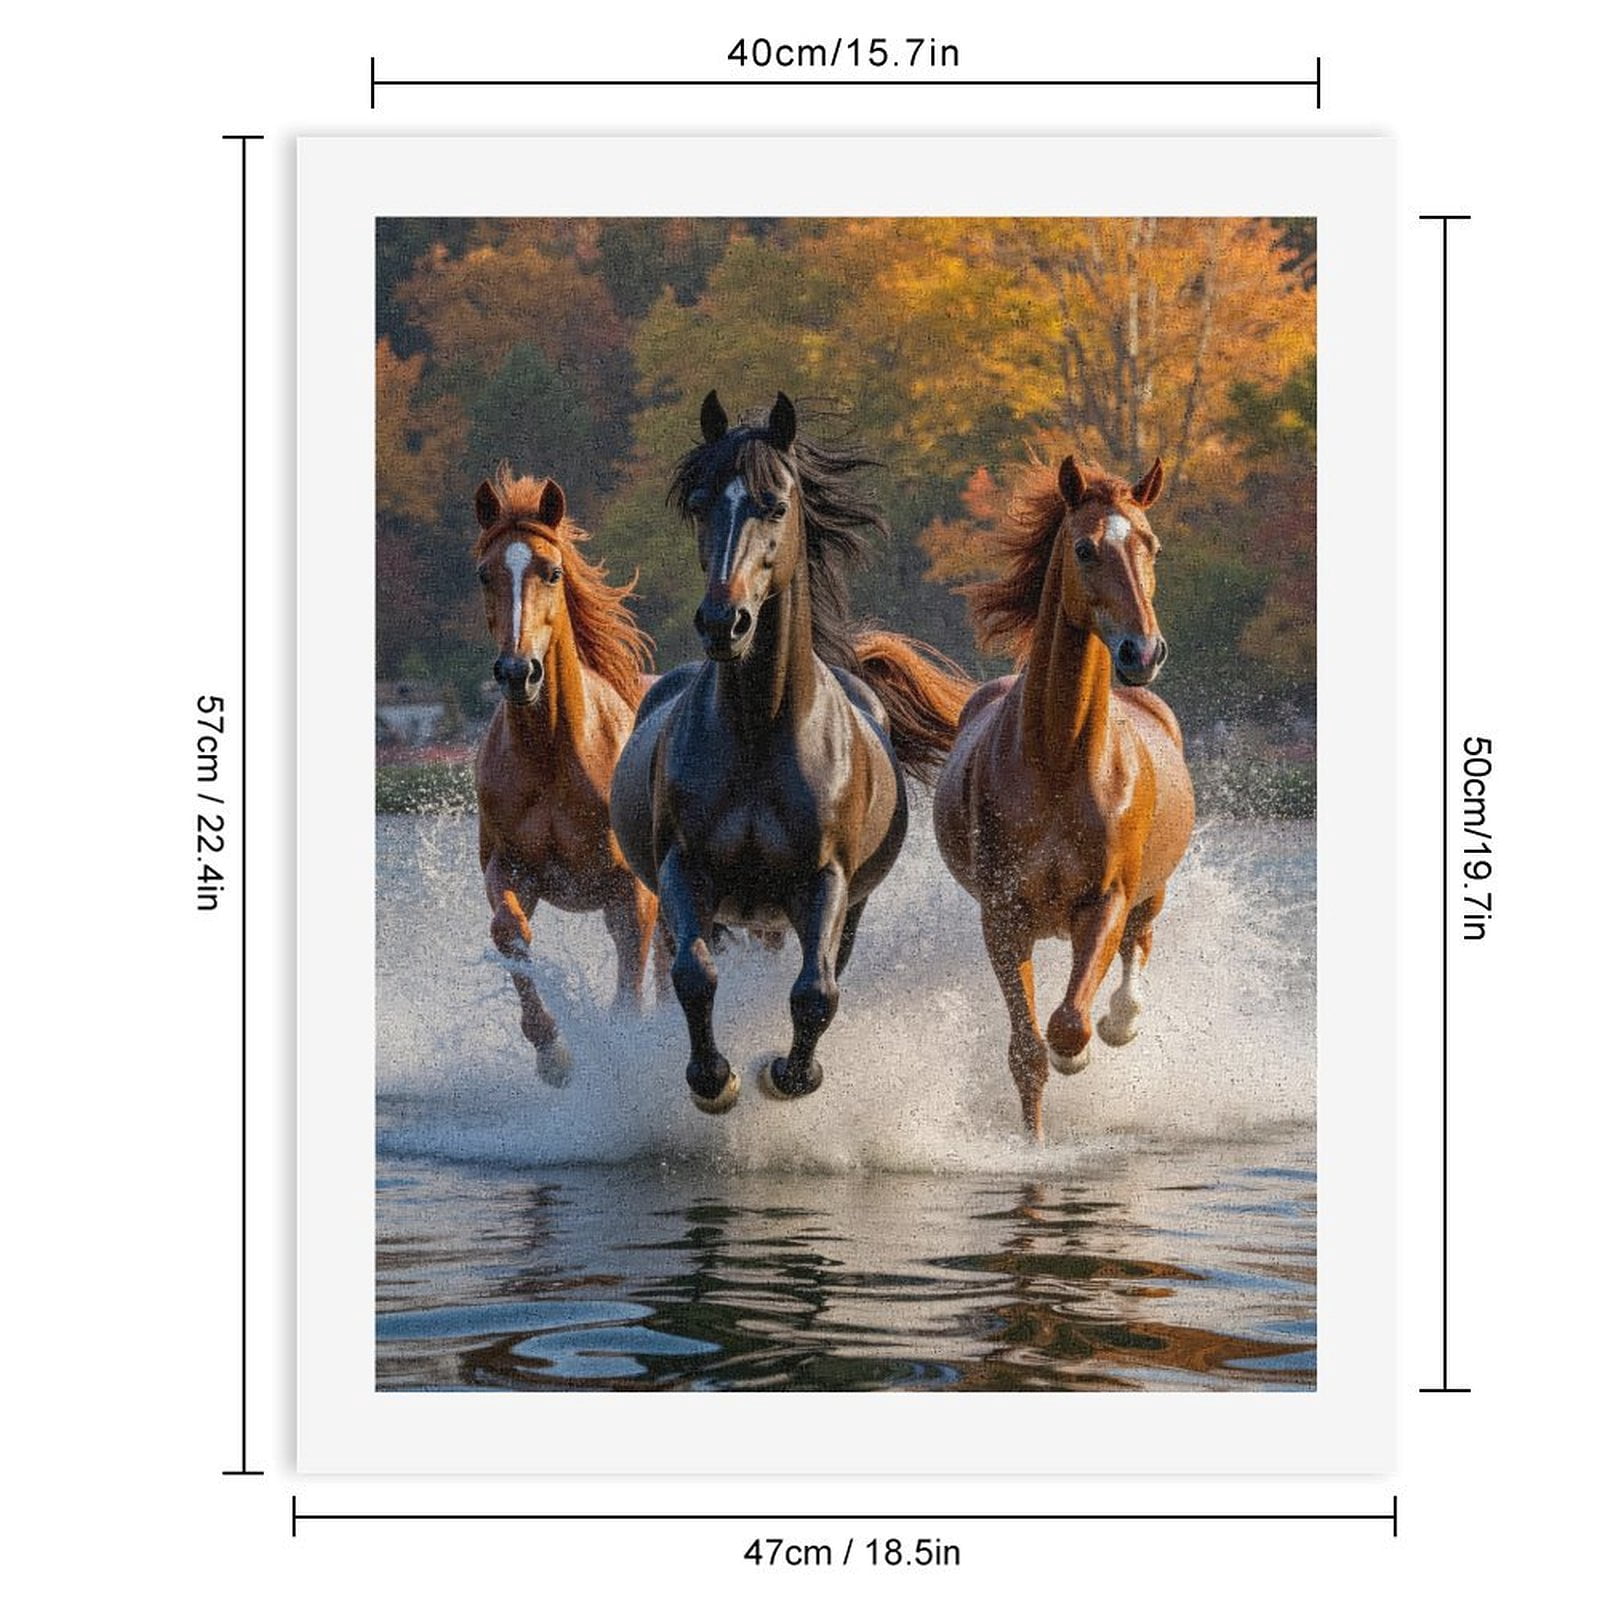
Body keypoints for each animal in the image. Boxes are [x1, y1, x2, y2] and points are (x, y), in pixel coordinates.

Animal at [471, 467, 659, 1085]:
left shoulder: (632, 891)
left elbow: (631, 990)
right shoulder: (512, 868)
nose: (517, 672)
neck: (554, 752)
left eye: (551, 571)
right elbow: (509, 932)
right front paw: (552, 1052)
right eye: (485, 573)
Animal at [610, 392, 972, 1114]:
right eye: (699, 501)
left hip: (826, 911)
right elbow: (694, 974)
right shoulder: (684, 870)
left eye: (775, 504)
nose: (723, 623)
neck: (760, 729)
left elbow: (815, 992)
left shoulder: (823, 881)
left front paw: (787, 1075)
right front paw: (713, 1081)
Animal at [932, 455, 1195, 1139]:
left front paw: (1081, 1048)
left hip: (1152, 889)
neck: (1058, 757)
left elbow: (1069, 1022)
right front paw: (1034, 1141)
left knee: (1139, 942)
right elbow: (1027, 1050)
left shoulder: (1104, 901)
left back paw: (1122, 1020)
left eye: (1152, 544)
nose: (1142, 652)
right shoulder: (1003, 913)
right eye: (1084, 548)